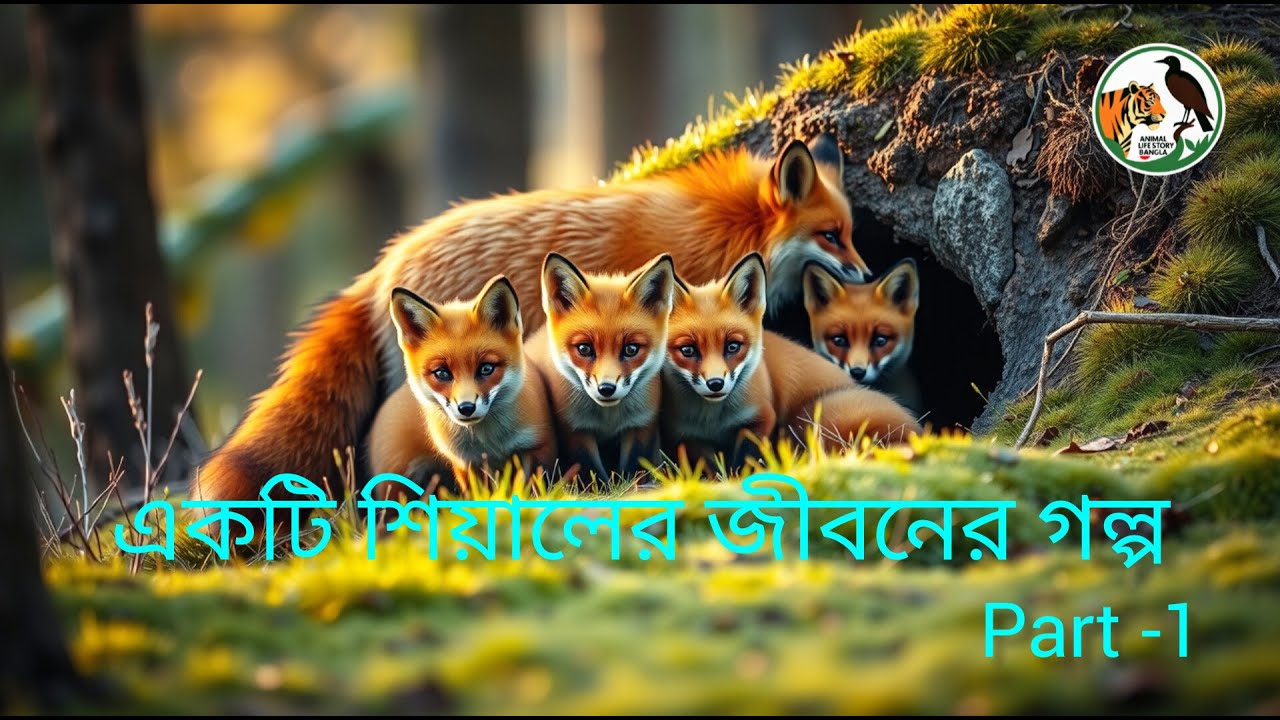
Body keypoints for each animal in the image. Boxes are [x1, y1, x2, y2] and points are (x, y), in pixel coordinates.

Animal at [364, 276, 558, 494]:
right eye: (442, 373)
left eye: (486, 368)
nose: (466, 408)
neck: (490, 444)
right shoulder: (465, 463)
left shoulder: (539, 446)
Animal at [523, 252, 676, 486]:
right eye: (584, 349)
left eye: (631, 349)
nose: (606, 389)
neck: (608, 419)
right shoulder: (575, 430)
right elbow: (591, 473)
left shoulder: (641, 425)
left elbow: (634, 468)